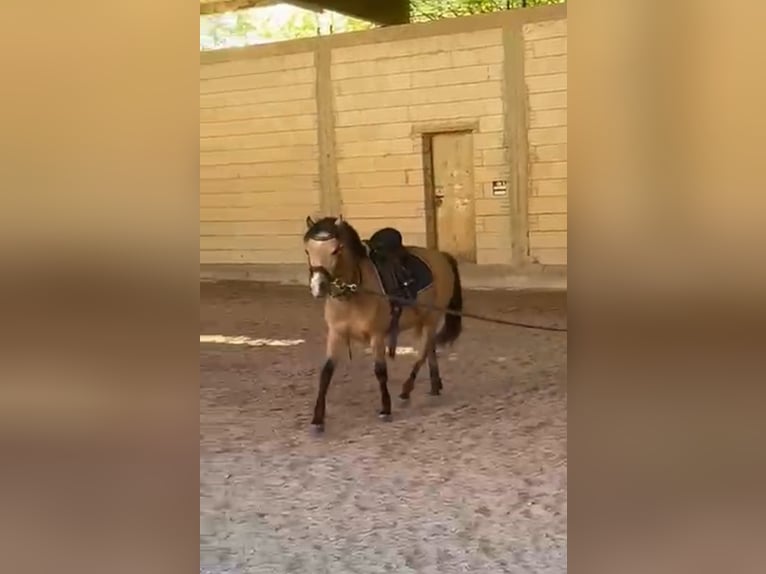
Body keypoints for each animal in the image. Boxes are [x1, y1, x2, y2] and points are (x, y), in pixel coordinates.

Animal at [303, 214, 464, 433]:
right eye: (307, 250)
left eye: (336, 249)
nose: (318, 286)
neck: (354, 293)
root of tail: (441, 256)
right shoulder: (336, 334)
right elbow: (326, 372)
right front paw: (317, 419)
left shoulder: (377, 336)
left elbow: (380, 370)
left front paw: (386, 409)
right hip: (421, 320)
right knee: (429, 350)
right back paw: (434, 385)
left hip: (432, 318)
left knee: (422, 353)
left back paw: (406, 390)